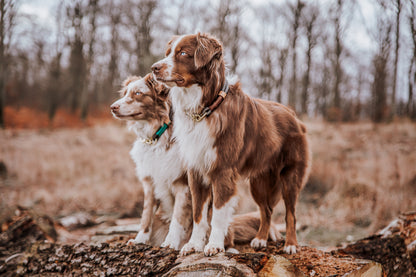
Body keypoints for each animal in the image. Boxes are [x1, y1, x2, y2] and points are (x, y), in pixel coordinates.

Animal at [110, 73, 280, 250]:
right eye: (125, 93)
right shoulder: (150, 183)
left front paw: (170, 242)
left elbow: (177, 218)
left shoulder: (182, 185)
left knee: (227, 236)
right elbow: (146, 215)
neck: (159, 136)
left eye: (138, 93)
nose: (112, 107)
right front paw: (139, 240)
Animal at [151, 32, 310, 254]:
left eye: (183, 53)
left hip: (290, 176)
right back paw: (260, 239)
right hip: (258, 182)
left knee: (291, 213)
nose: (154, 68)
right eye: (167, 53)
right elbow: (198, 214)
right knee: (266, 210)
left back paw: (291, 244)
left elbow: (218, 214)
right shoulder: (195, 171)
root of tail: (294, 116)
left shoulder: (222, 171)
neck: (206, 107)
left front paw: (214, 246)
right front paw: (193, 244)